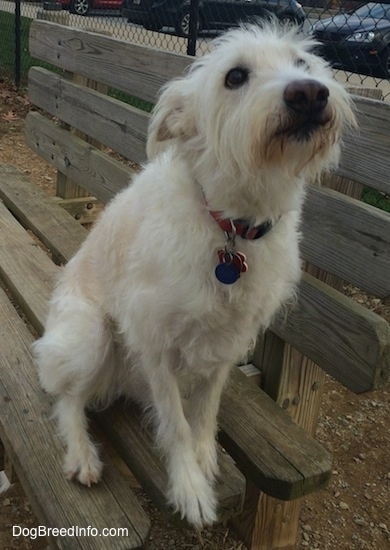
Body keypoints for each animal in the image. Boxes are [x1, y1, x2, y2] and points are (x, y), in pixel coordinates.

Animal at [34, 22, 356, 532]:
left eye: (303, 63)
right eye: (235, 75)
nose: (310, 93)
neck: (232, 227)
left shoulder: (229, 340)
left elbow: (205, 410)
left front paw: (205, 458)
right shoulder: (154, 342)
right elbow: (176, 425)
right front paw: (189, 488)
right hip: (90, 337)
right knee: (66, 398)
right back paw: (83, 455)